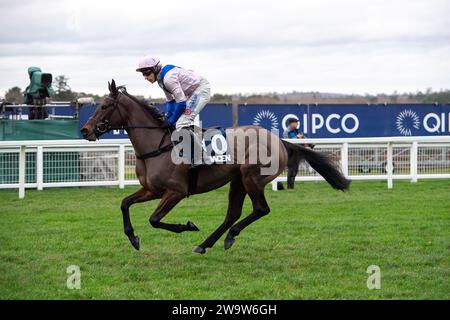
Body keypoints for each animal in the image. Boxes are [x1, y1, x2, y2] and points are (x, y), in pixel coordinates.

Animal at [79, 80, 350, 255]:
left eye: (104, 106)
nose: (85, 129)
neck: (157, 146)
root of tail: (280, 140)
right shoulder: (152, 190)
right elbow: (124, 203)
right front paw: (133, 238)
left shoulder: (175, 192)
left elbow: (154, 219)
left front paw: (187, 226)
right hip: (237, 180)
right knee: (233, 213)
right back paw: (205, 244)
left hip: (252, 178)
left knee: (260, 209)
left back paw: (228, 236)